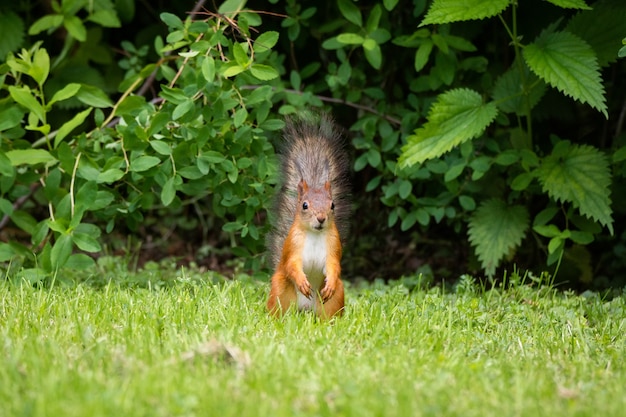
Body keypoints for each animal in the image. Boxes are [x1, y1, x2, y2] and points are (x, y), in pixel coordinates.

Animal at [264, 115, 348, 320]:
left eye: (332, 205)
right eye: (304, 205)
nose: (321, 218)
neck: (315, 235)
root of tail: (305, 310)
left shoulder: (333, 246)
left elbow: (333, 266)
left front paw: (330, 282)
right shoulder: (293, 246)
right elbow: (292, 265)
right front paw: (302, 281)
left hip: (335, 297)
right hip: (280, 289)